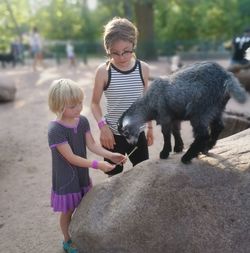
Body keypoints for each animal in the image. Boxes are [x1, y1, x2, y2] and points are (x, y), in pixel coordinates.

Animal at [118, 61, 247, 164]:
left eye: (126, 133)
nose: (132, 144)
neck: (148, 103)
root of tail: (227, 76)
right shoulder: (175, 117)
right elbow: (176, 131)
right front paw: (178, 147)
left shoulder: (164, 115)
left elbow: (166, 134)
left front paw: (164, 153)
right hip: (217, 108)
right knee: (218, 126)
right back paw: (207, 147)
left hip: (200, 109)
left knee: (203, 134)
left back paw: (187, 157)